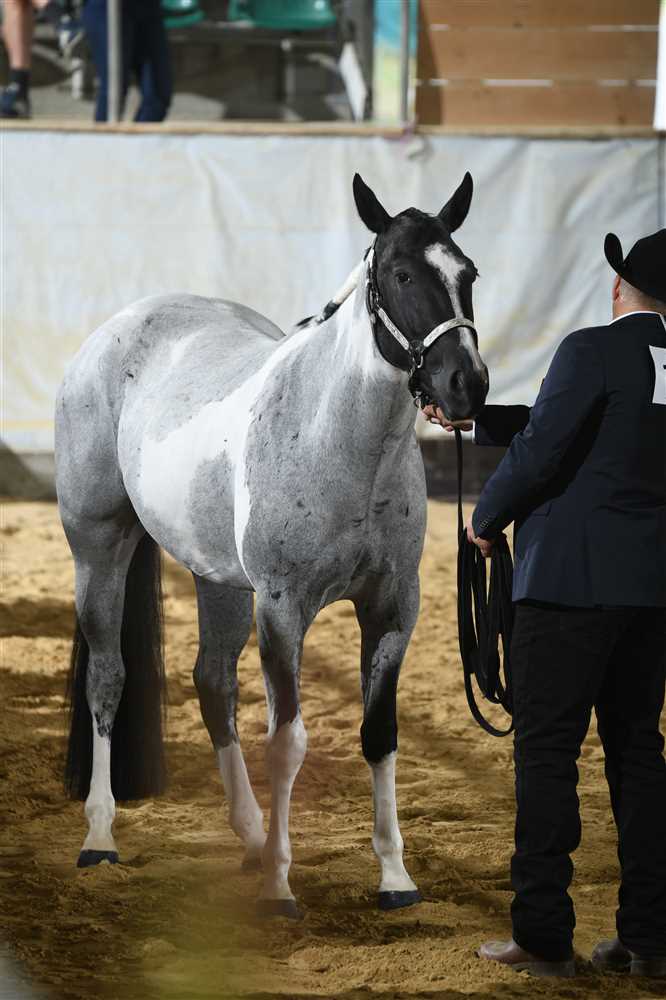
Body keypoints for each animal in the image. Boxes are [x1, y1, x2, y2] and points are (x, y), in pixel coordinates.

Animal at [55, 172, 489, 918]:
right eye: (401, 273)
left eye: (468, 273)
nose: (467, 384)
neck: (339, 441)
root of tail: (115, 333)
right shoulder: (282, 611)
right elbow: (287, 742)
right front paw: (281, 889)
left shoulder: (392, 609)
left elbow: (379, 734)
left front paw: (395, 878)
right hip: (100, 550)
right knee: (107, 678)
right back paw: (101, 836)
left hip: (220, 581)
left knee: (212, 682)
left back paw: (252, 835)